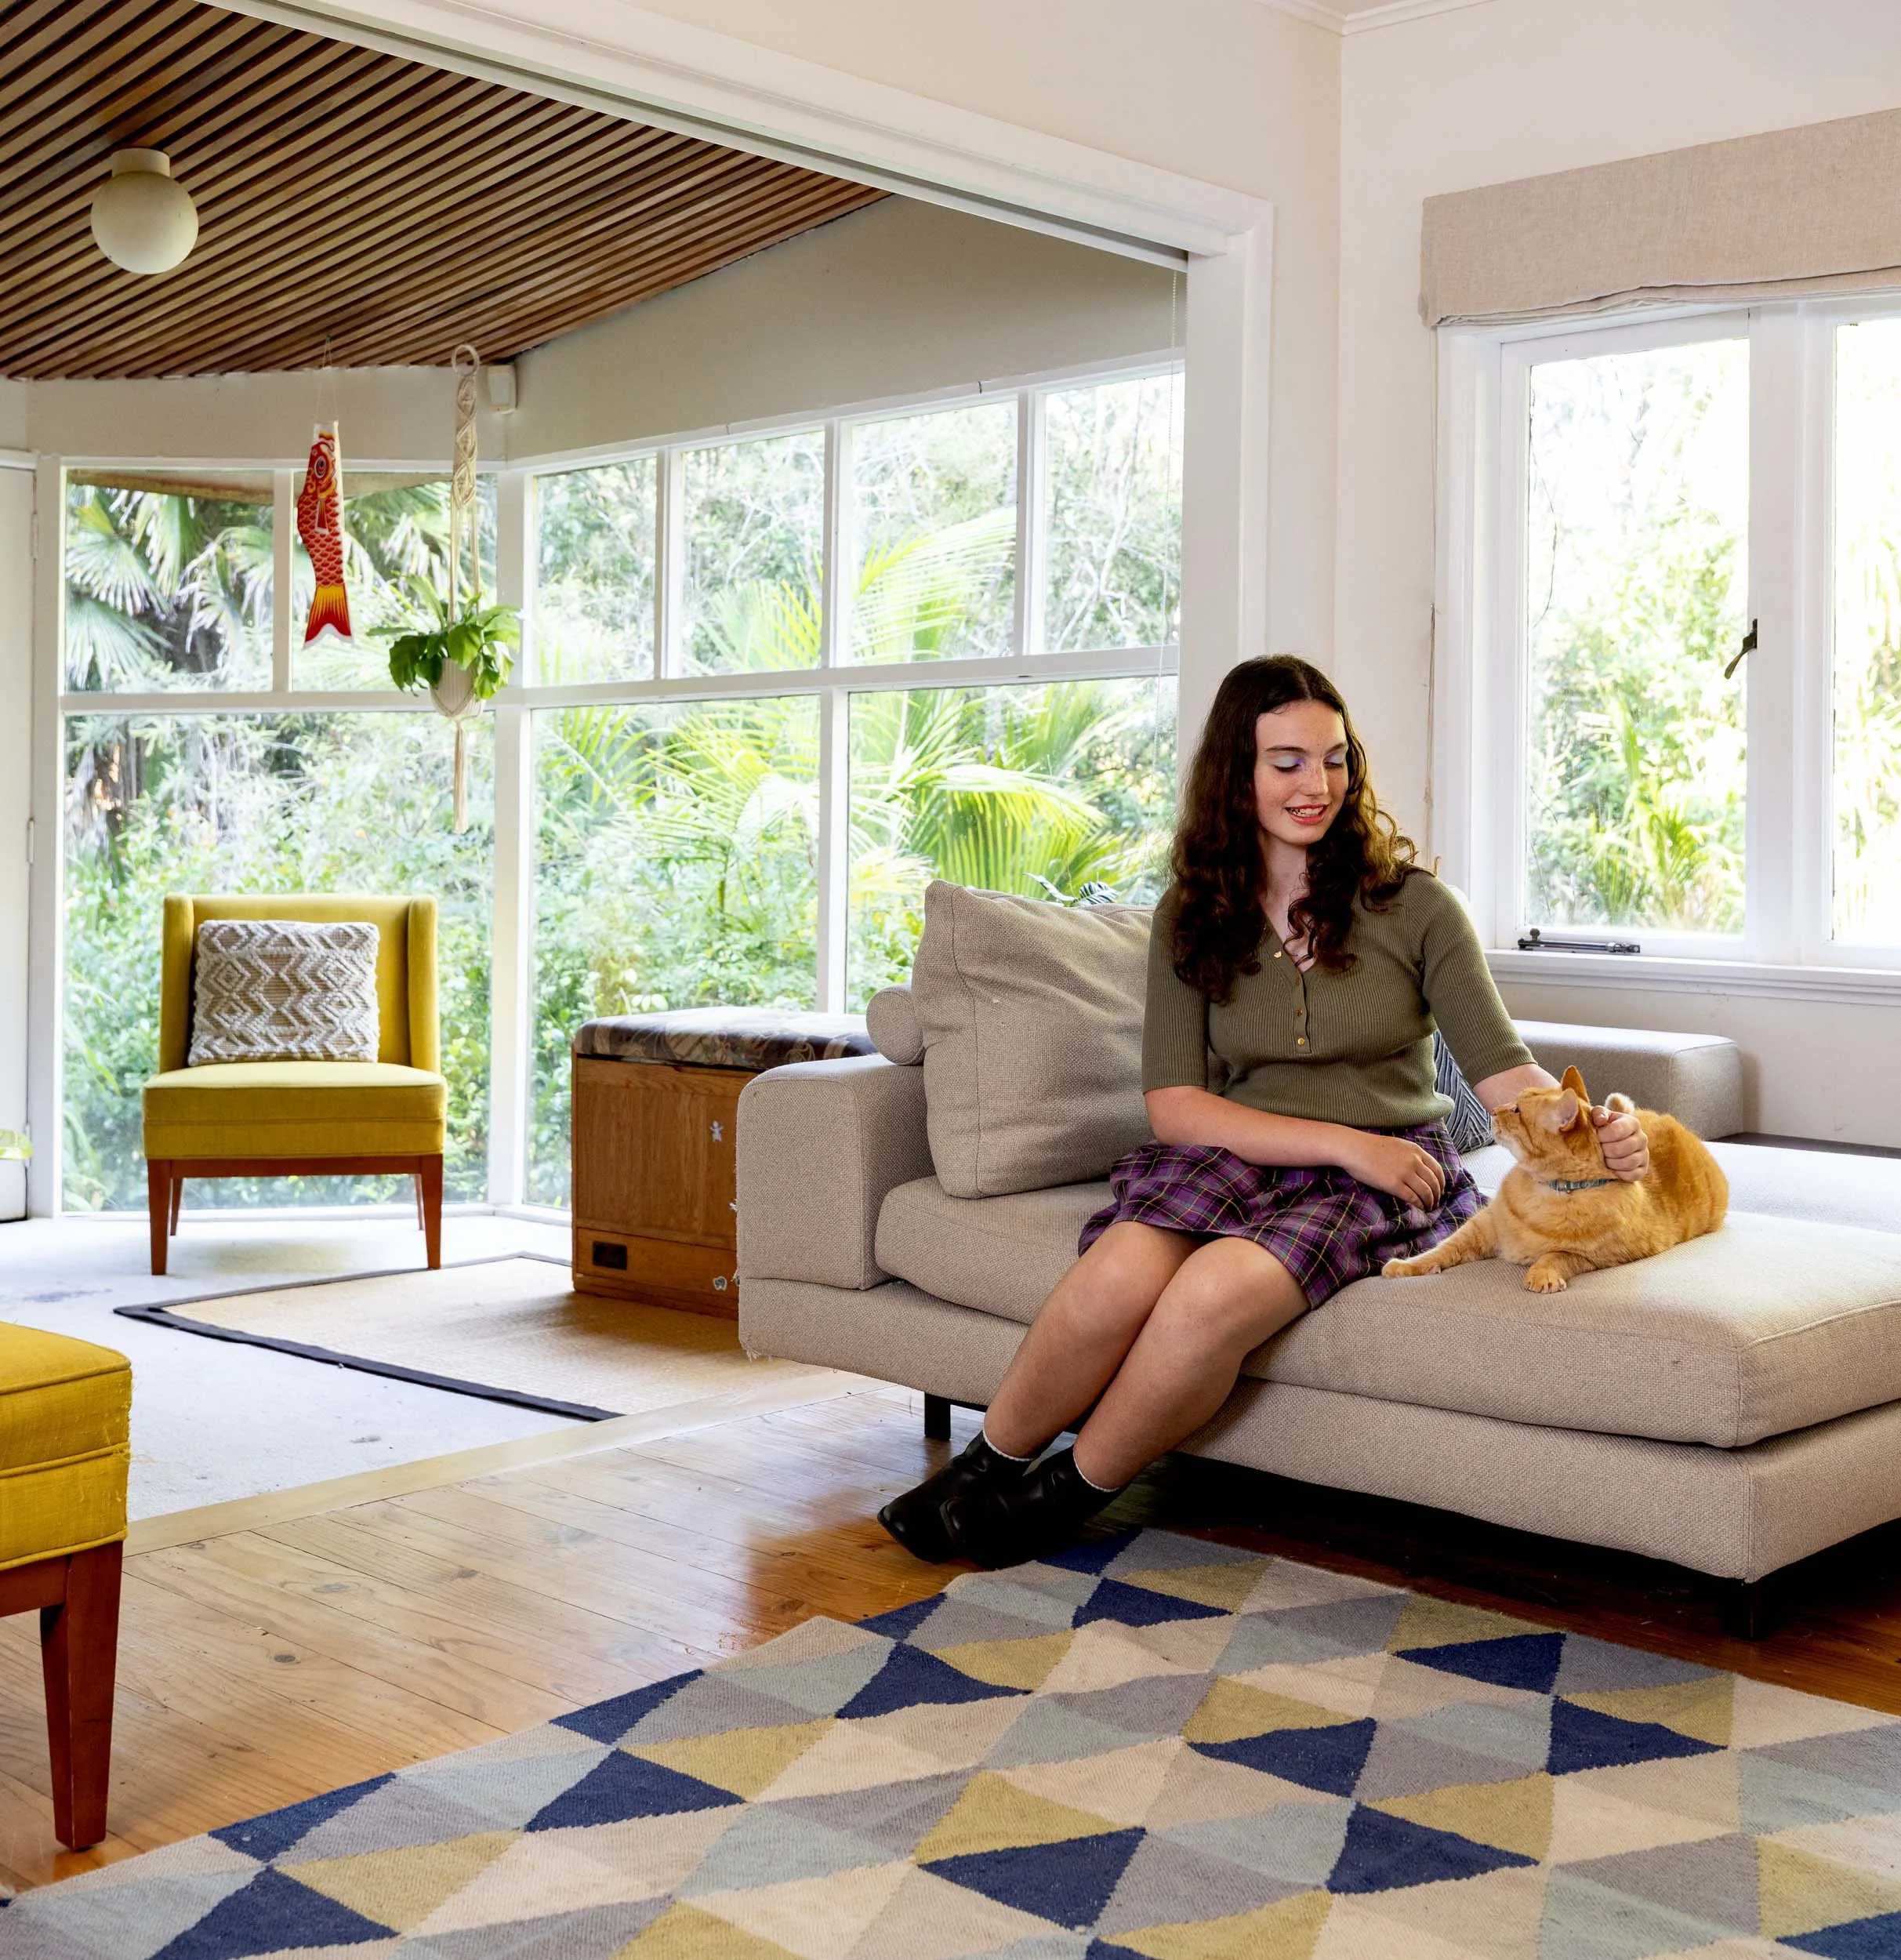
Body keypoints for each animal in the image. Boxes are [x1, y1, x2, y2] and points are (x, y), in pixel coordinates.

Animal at [1380, 1066, 1717, 1294]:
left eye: (1516, 1110)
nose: (1495, 1110)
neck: (1549, 1190)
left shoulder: (1590, 1257)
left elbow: (1555, 1255)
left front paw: (1542, 1274)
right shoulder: (1482, 1226)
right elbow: (1443, 1247)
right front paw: (1408, 1265)